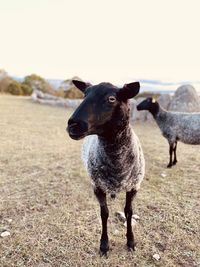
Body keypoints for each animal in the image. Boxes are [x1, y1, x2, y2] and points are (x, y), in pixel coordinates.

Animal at [66, 80, 145, 256]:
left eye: (111, 99)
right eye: (84, 94)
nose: (73, 124)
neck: (117, 165)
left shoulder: (134, 186)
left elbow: (129, 212)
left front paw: (131, 242)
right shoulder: (98, 187)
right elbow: (104, 213)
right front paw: (104, 245)